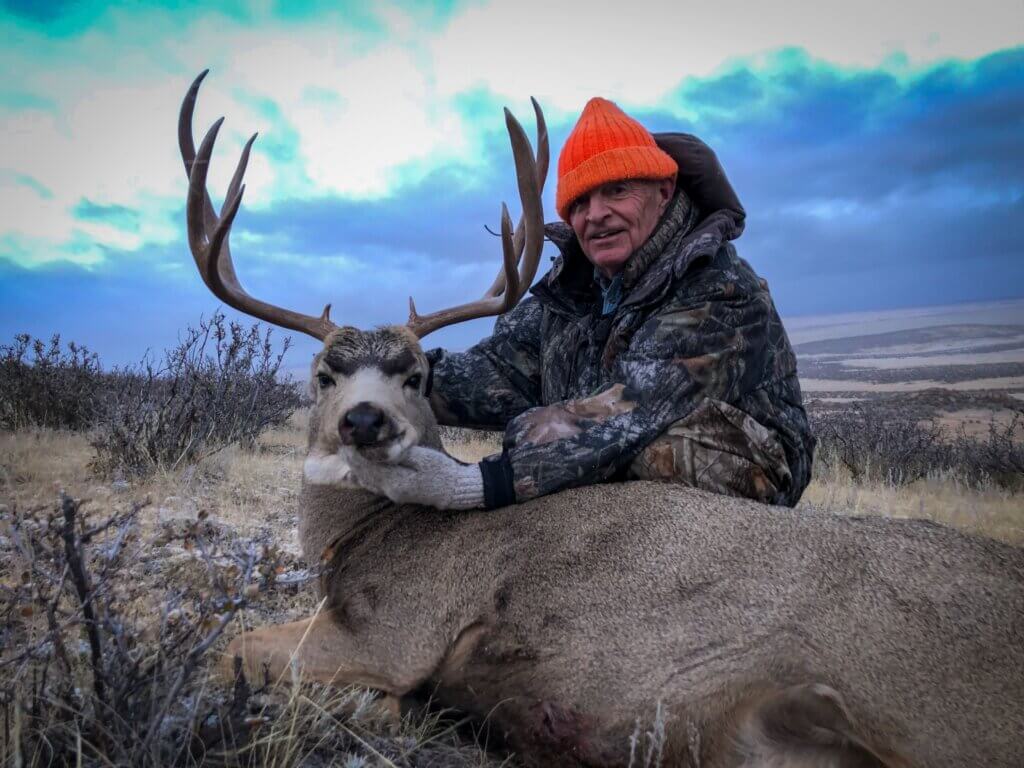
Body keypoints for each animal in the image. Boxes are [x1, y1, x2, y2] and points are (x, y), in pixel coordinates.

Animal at [179, 71, 1024, 767]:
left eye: (414, 375)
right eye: (323, 374)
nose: (362, 422)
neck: (362, 540)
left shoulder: (397, 630)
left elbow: (227, 648)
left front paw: (378, 709)